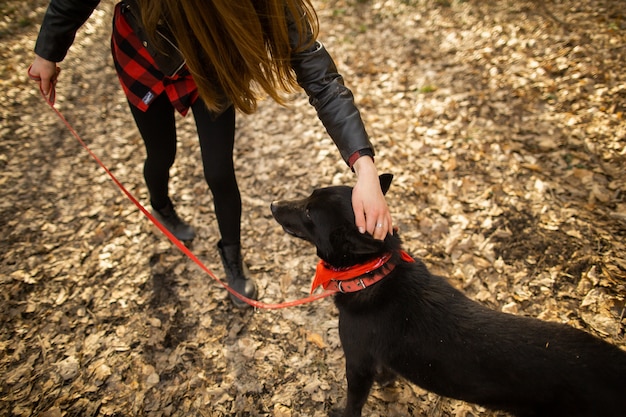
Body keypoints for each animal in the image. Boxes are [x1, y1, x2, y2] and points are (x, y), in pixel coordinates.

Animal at [270, 174, 624, 416]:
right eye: (308, 196)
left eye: (309, 213)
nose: (272, 204)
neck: (374, 274)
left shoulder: (357, 365)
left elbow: (353, 403)